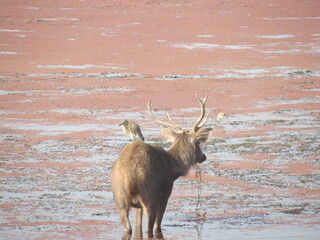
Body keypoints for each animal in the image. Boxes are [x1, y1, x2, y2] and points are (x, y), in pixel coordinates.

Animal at [110, 93, 212, 238]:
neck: (173, 167)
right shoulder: (165, 194)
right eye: (198, 142)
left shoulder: (137, 206)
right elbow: (157, 226)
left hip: (119, 197)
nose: (203, 156)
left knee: (128, 227)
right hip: (150, 194)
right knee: (150, 228)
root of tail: (131, 174)